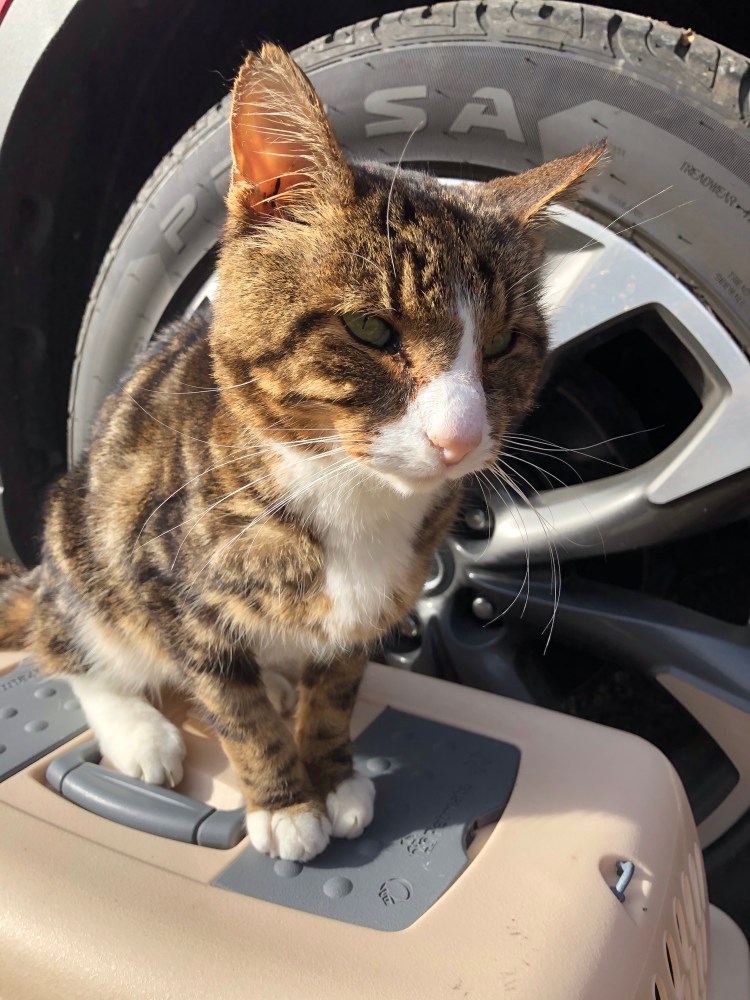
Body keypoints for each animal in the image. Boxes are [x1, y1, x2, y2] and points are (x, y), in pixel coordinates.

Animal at [0, 44, 604, 862]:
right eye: (371, 328)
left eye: (506, 343)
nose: (460, 436)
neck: (352, 495)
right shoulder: (168, 577)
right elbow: (235, 710)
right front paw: (284, 802)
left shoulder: (369, 608)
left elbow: (336, 690)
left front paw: (333, 773)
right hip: (87, 539)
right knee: (69, 642)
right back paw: (139, 730)